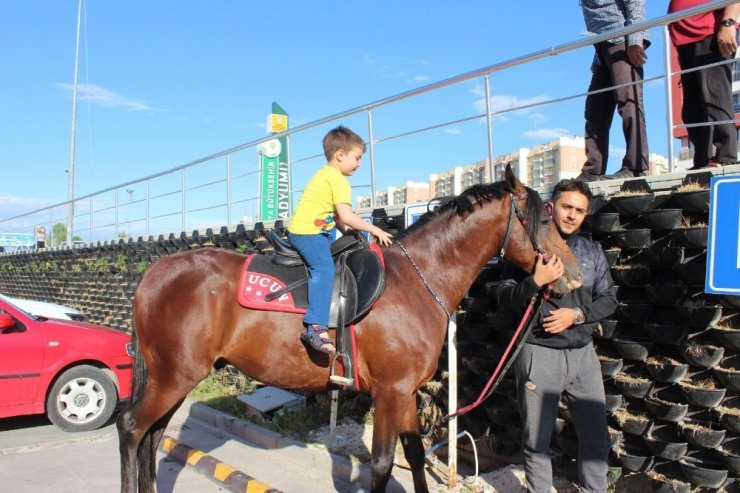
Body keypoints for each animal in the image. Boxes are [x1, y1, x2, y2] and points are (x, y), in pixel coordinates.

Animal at [117, 166, 580, 492]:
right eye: (543, 221)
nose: (573, 272)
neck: (418, 278)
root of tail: (155, 273)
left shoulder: (405, 392)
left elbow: (413, 455)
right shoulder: (390, 393)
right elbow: (381, 465)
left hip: (174, 377)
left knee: (153, 436)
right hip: (174, 376)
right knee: (132, 429)